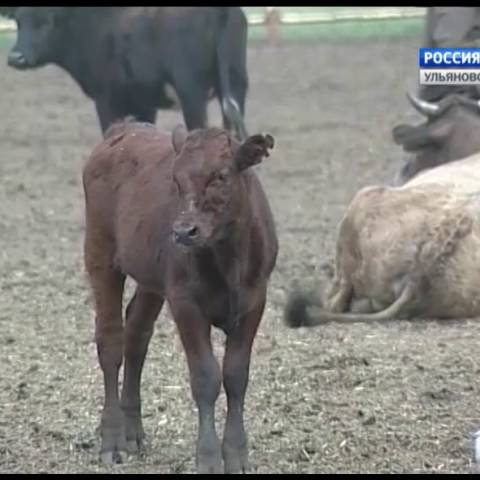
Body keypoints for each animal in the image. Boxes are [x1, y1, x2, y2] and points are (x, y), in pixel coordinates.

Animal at [5, 6, 249, 140]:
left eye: (47, 20)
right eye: (19, 20)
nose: (16, 57)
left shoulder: (106, 99)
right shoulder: (144, 102)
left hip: (191, 92)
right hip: (235, 84)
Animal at [82, 119, 278, 472]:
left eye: (221, 176)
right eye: (175, 179)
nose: (184, 232)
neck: (227, 258)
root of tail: (124, 128)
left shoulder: (255, 301)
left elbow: (235, 374)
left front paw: (236, 453)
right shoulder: (185, 303)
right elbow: (206, 378)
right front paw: (209, 457)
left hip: (151, 277)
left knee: (137, 334)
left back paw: (133, 431)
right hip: (99, 253)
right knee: (111, 342)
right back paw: (113, 438)